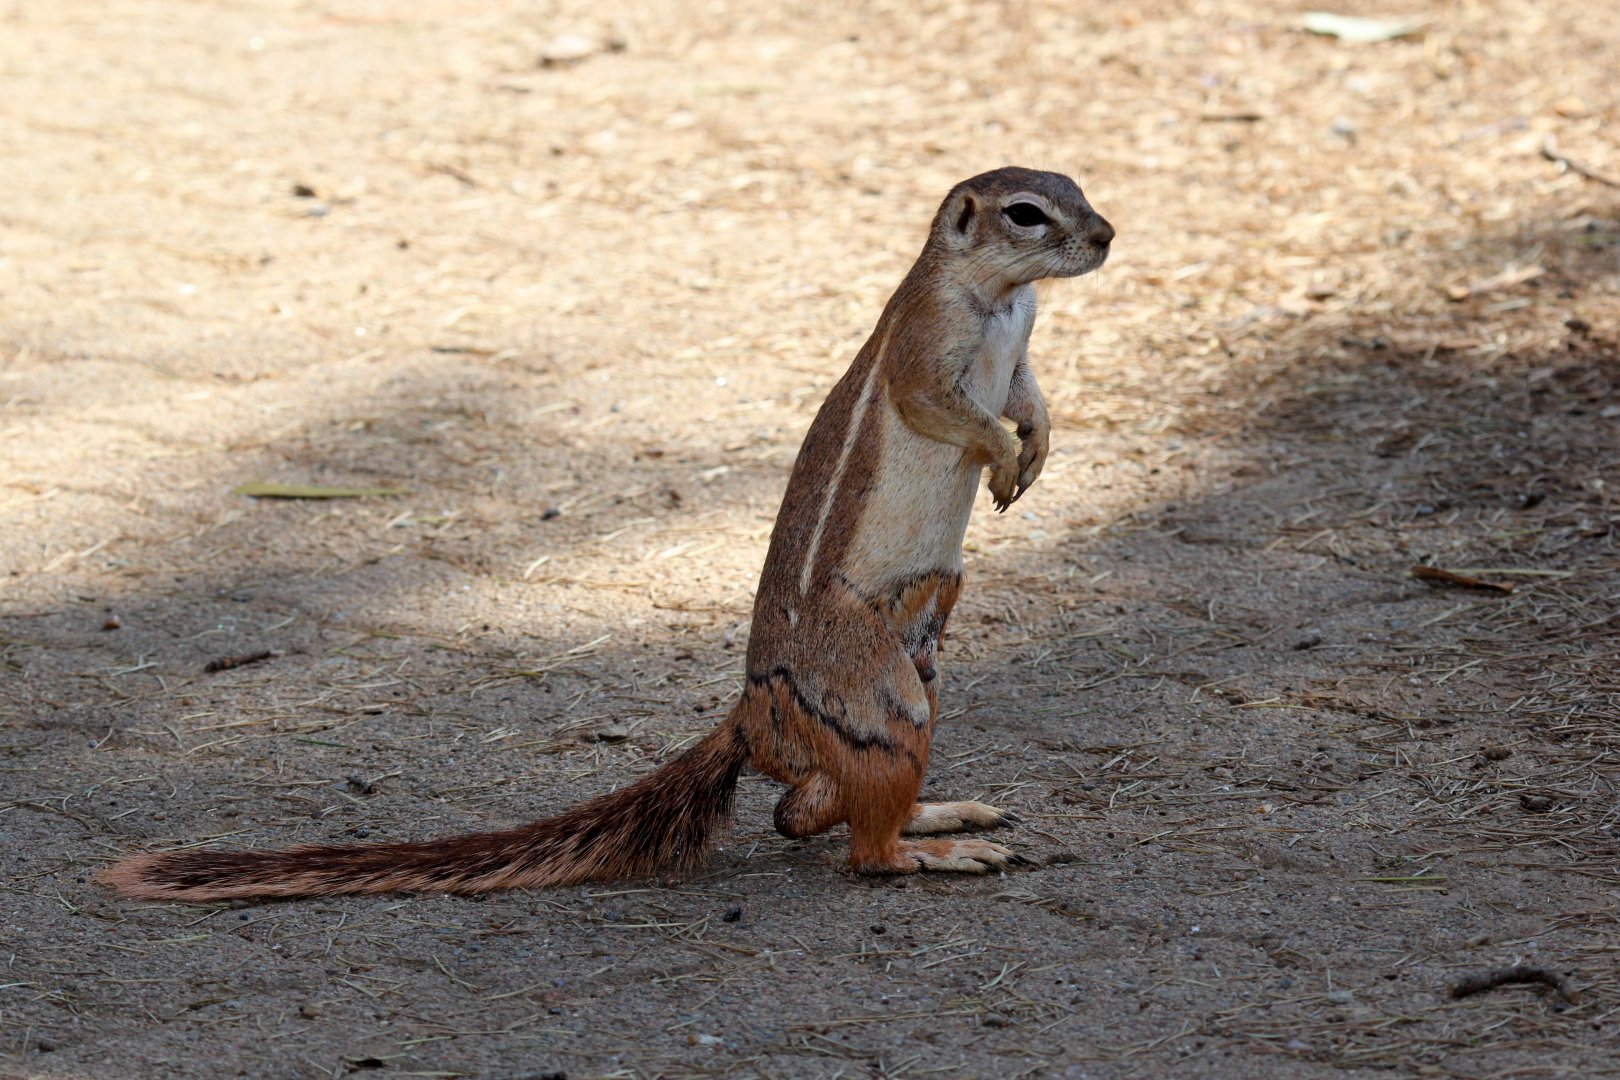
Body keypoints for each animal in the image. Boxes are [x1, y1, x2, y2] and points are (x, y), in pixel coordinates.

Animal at [99, 167, 1114, 900]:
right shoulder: (925, 351)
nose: (1106, 235)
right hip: (882, 703)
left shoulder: (1021, 350)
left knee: (799, 811)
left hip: (921, 660)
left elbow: (1030, 397)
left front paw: (1036, 448)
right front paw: (1003, 458)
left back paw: (941, 815)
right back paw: (933, 853)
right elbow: (947, 407)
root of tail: (754, 717)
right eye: (1027, 214)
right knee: (857, 846)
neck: (1002, 296)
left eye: (1078, 187)